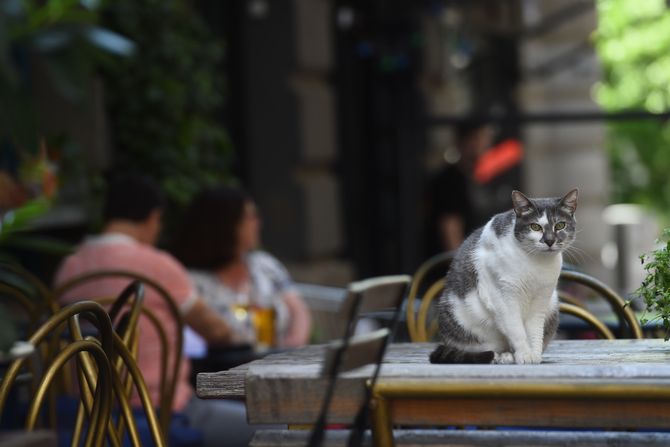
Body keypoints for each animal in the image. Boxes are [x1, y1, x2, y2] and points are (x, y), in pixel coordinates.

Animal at [434, 188, 580, 364]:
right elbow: (516, 330)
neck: (536, 263)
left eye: (560, 225)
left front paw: (534, 355)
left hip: (552, 305)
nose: (550, 241)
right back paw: (501, 356)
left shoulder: (541, 301)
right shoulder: (503, 298)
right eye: (535, 227)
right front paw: (525, 355)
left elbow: (535, 332)